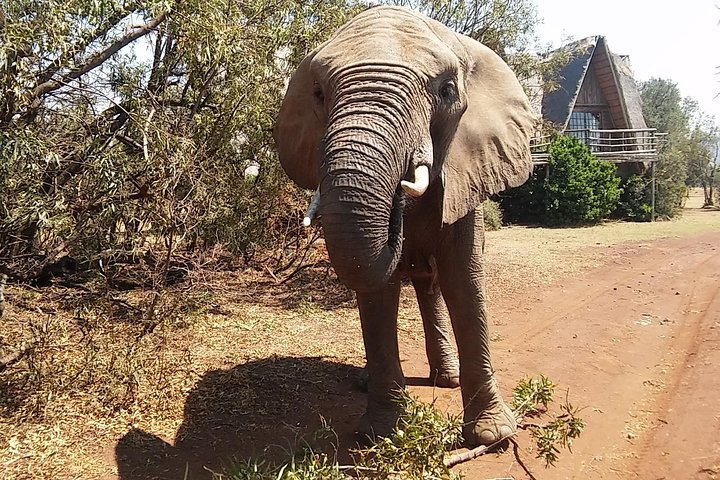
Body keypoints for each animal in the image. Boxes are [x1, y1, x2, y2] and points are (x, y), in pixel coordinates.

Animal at [272, 5, 536, 448]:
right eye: (319, 94)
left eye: (447, 91)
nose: (400, 199)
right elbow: (378, 292)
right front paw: (380, 434)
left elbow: (464, 280)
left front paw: (490, 437)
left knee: (433, 287)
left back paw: (446, 379)